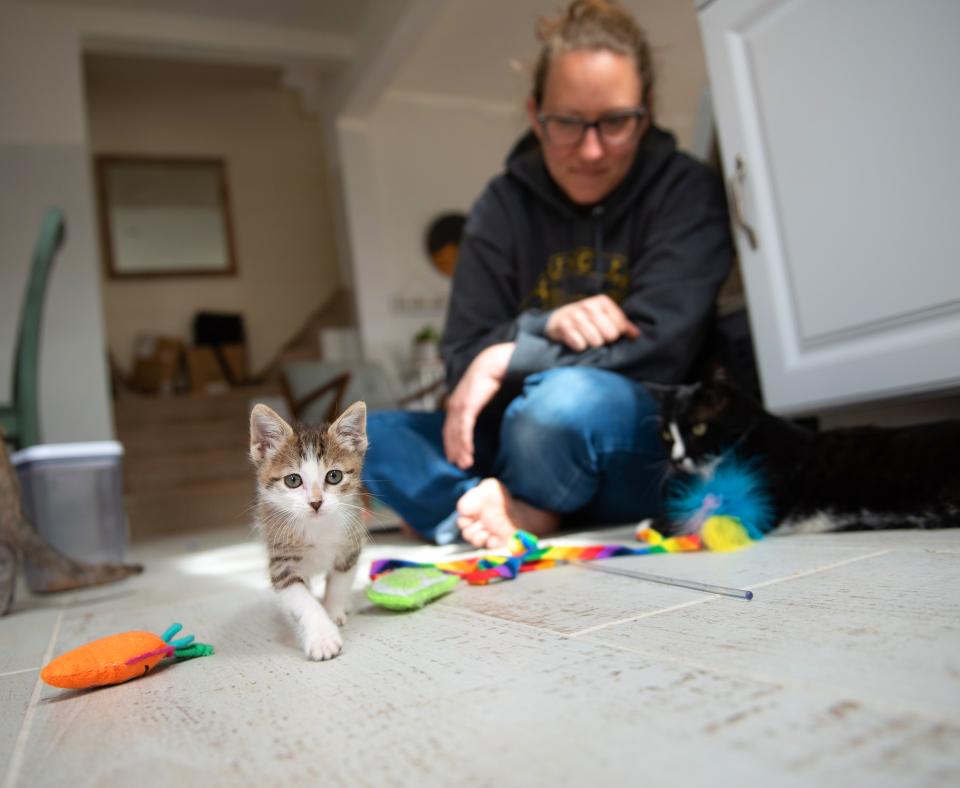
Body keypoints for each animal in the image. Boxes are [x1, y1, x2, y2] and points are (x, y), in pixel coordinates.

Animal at [248, 400, 368, 660]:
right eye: (293, 480)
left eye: (334, 476)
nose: (316, 502)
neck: (317, 527)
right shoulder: (281, 561)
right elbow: (302, 599)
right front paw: (323, 637)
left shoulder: (350, 545)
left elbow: (339, 582)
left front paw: (333, 611)